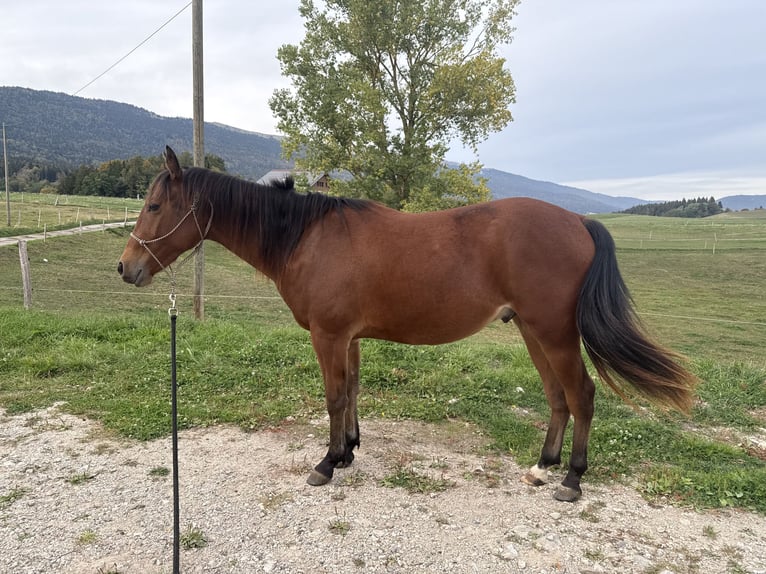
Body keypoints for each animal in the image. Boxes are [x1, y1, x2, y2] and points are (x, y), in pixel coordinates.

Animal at [118, 146, 697, 501]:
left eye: (154, 205)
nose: (126, 268)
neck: (304, 237)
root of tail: (577, 219)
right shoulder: (348, 338)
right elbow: (352, 391)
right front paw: (348, 452)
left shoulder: (328, 336)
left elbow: (334, 396)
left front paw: (327, 463)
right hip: (533, 332)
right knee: (558, 397)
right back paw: (543, 466)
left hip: (554, 333)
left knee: (581, 395)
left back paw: (572, 479)